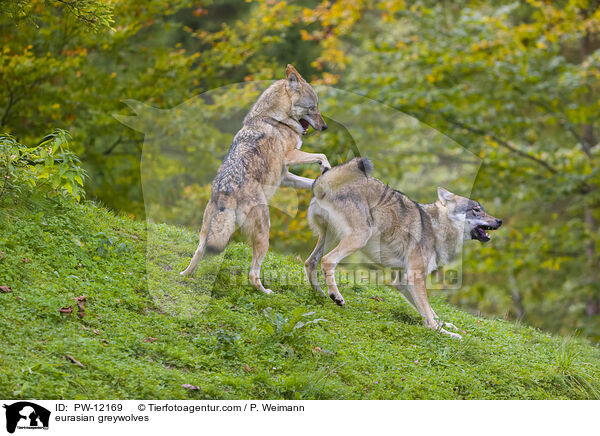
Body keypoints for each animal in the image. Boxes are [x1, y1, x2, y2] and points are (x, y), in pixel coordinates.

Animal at [180, 63, 330, 296]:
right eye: (312, 107)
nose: (324, 127)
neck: (275, 119)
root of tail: (226, 191)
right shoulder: (291, 156)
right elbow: (322, 155)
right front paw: (326, 166)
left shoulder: (284, 177)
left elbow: (310, 181)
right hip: (264, 233)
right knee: (252, 274)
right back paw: (266, 292)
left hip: (206, 234)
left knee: (198, 253)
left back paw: (185, 275)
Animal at [304, 157, 502, 338]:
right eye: (476, 210)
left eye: (481, 209)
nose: (499, 221)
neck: (436, 227)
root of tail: (322, 182)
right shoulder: (415, 276)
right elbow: (429, 314)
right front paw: (445, 333)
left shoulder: (401, 281)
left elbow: (430, 311)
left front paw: (446, 325)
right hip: (358, 238)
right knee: (327, 261)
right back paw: (335, 296)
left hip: (331, 238)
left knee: (310, 262)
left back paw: (320, 294)